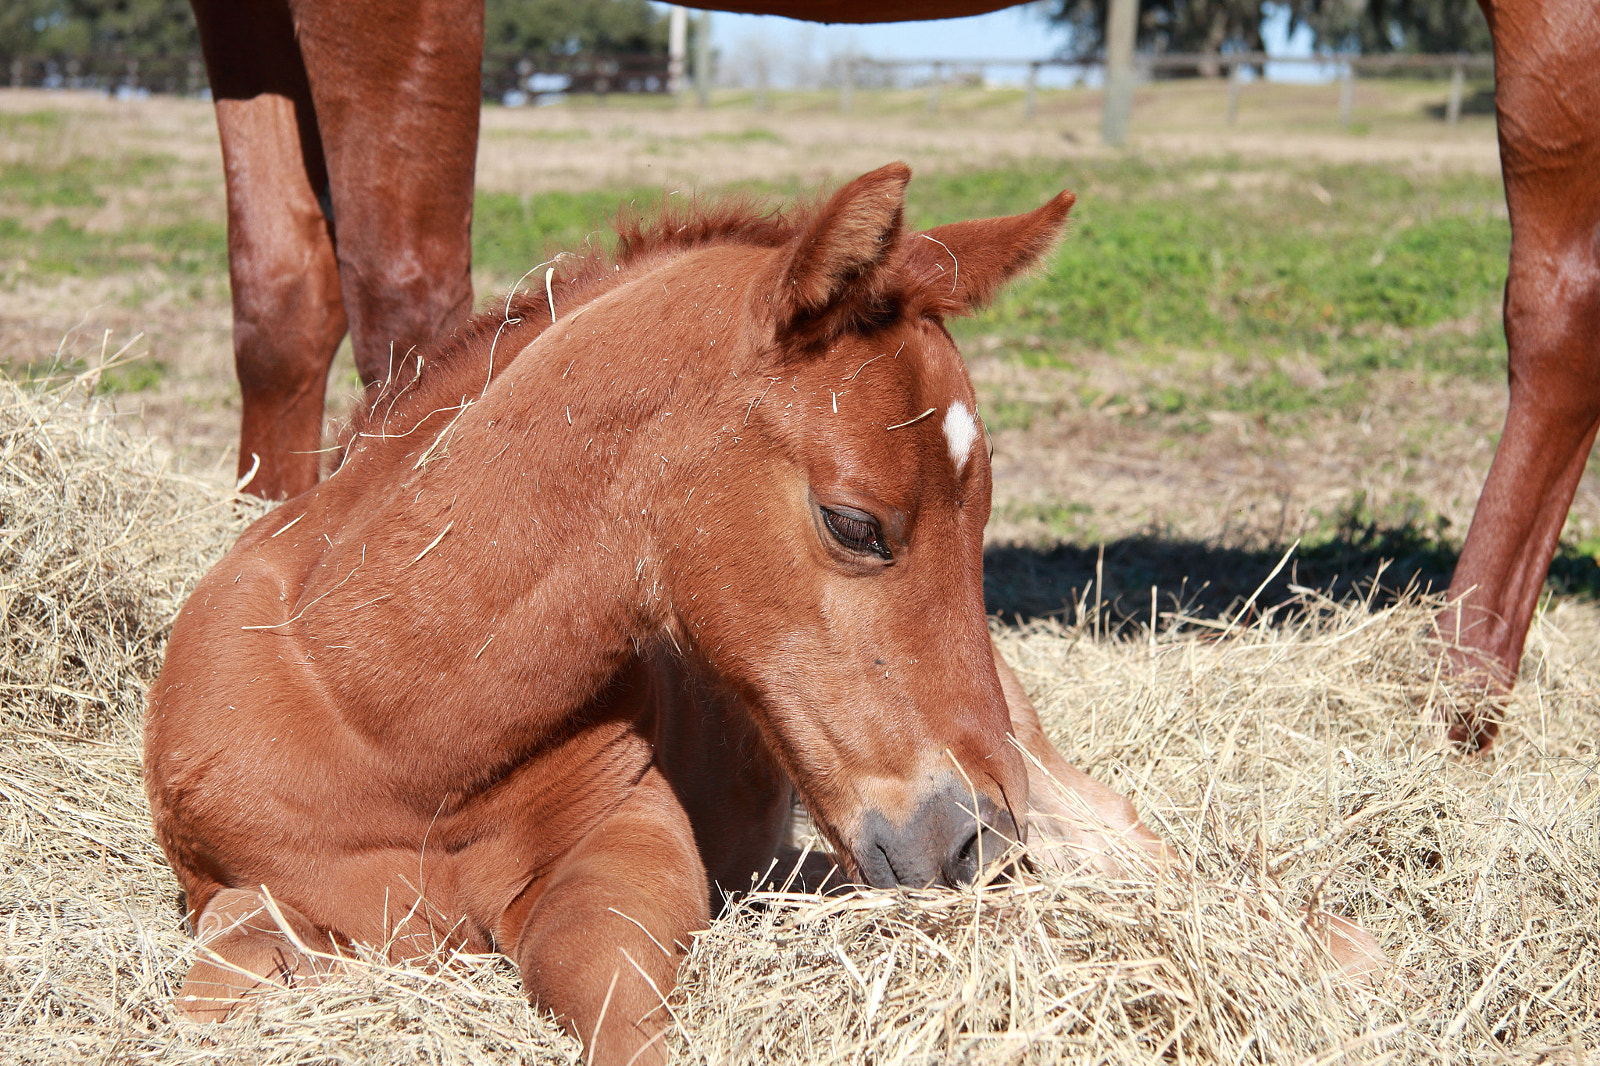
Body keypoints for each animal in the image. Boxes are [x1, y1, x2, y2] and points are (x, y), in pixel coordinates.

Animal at [147, 164, 1164, 1062]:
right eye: (854, 524)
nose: (976, 842)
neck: (388, 730)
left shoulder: (628, 847)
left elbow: (611, 995)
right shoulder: (235, 886)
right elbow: (213, 985)